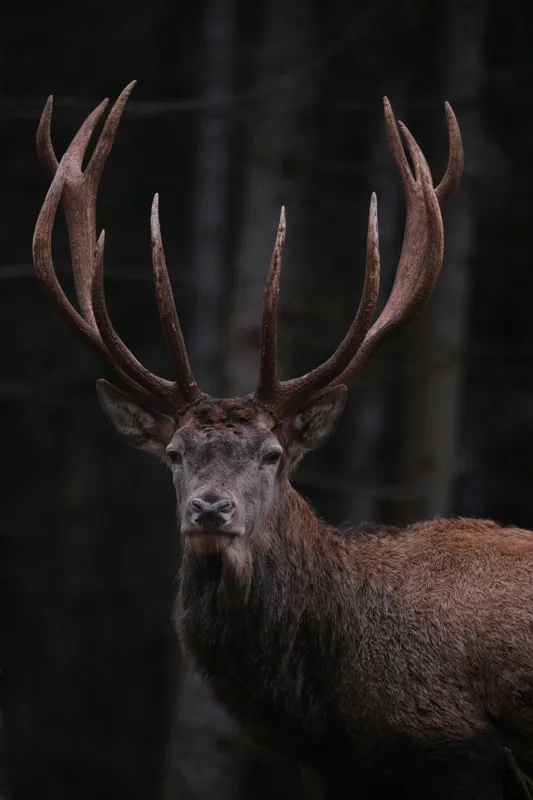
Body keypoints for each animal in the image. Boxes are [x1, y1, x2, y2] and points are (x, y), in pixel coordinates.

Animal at [31, 81, 533, 800]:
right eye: (175, 455)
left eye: (272, 456)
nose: (210, 509)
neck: (330, 712)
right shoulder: (327, 773)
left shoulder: (456, 748)